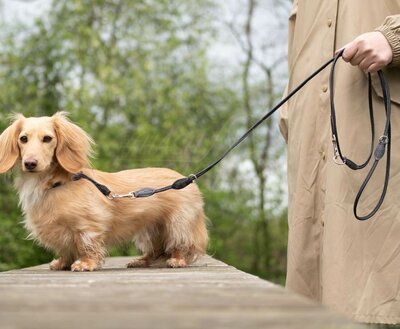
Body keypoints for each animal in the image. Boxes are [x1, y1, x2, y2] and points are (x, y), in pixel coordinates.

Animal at [0, 111, 209, 270]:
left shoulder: (88, 226)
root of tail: (186, 179)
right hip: (151, 228)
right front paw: (62, 263)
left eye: (47, 138)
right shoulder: (59, 232)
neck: (54, 183)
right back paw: (141, 261)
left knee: (180, 244)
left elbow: (87, 245)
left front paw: (85, 263)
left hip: (178, 224)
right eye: (23, 139)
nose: (30, 163)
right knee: (156, 249)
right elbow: (65, 249)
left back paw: (177, 260)